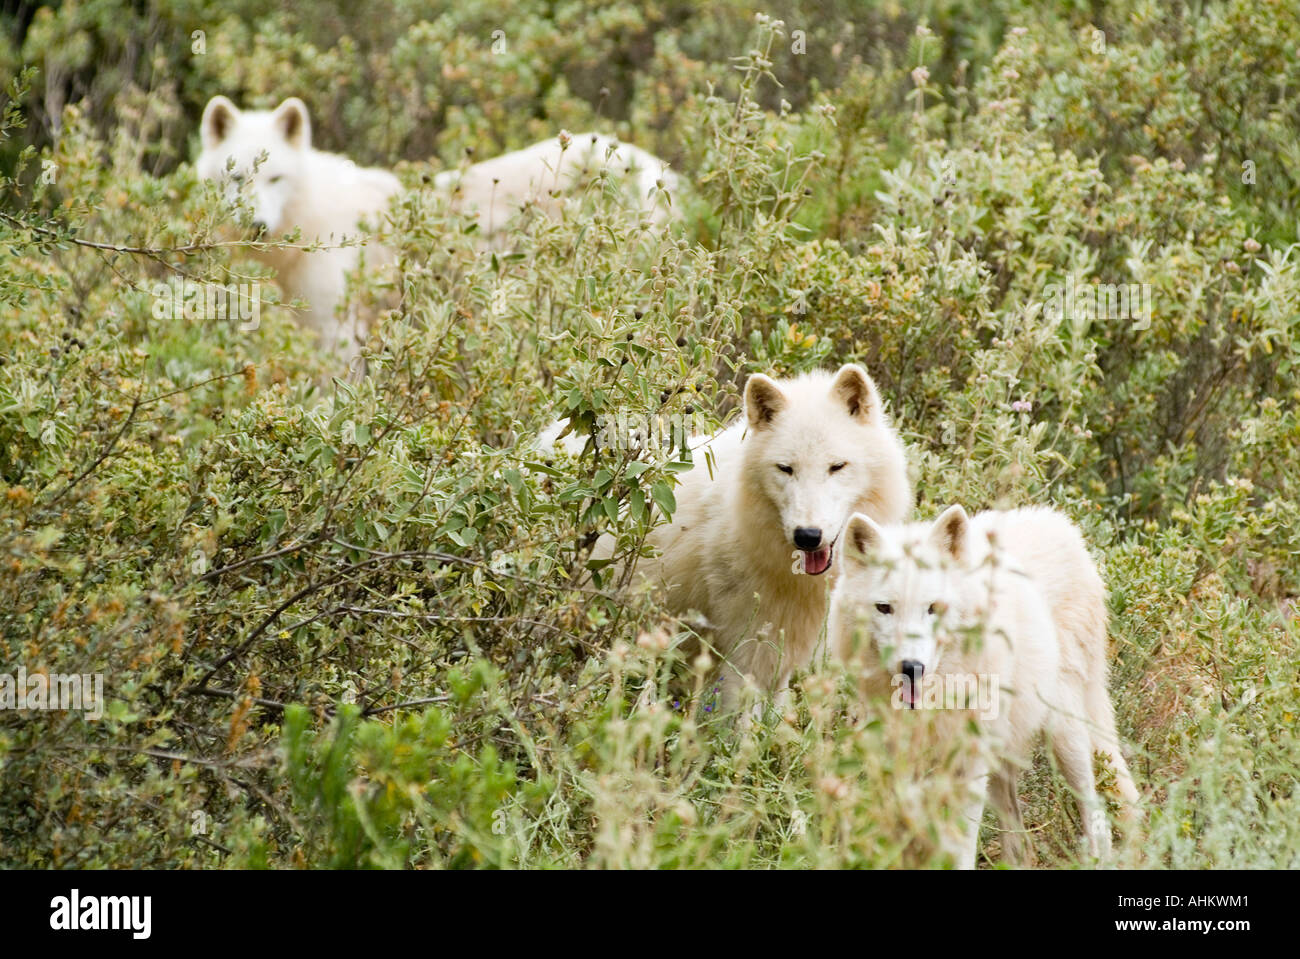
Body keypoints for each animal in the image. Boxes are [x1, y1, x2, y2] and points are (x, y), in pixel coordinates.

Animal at [826, 509, 1144, 868]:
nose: (912, 667)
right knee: (1020, 839)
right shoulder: (901, 762)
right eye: (884, 608)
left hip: (1064, 736)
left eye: (933, 607)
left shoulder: (969, 763)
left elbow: (959, 846)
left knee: (1096, 812)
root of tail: (1060, 522)